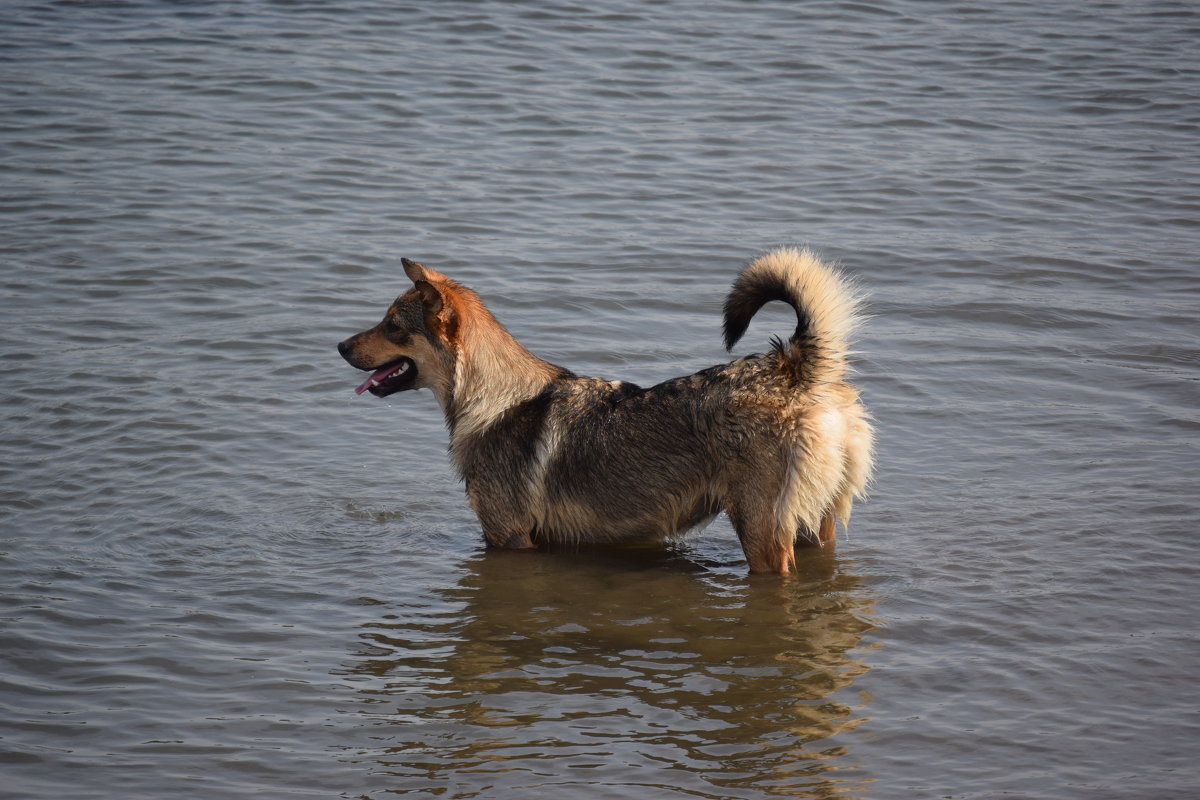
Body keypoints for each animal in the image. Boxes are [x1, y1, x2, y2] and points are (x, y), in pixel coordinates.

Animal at [338, 247, 873, 573]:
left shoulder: (508, 537)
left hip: (761, 532)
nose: (340, 346)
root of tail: (791, 369)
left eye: (392, 325)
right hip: (815, 528)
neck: (491, 398)